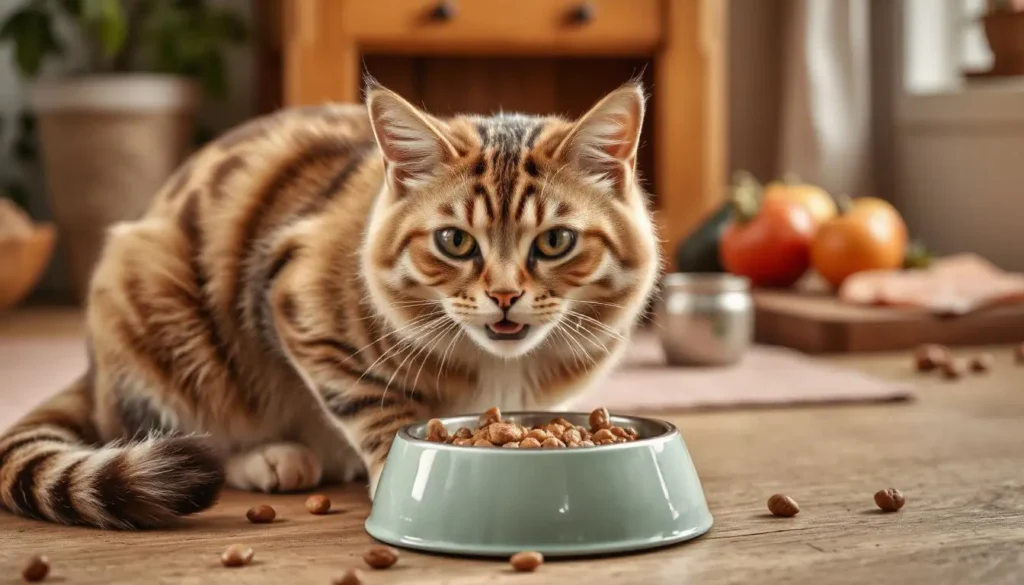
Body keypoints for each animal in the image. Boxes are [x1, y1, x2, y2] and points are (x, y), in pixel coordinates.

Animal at [0, 78, 655, 532]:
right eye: (454, 241)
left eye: (555, 241)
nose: (503, 296)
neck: (500, 364)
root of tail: (93, 375)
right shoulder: (298, 306)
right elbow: (371, 404)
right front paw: (392, 470)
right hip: (156, 318)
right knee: (186, 432)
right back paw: (272, 458)